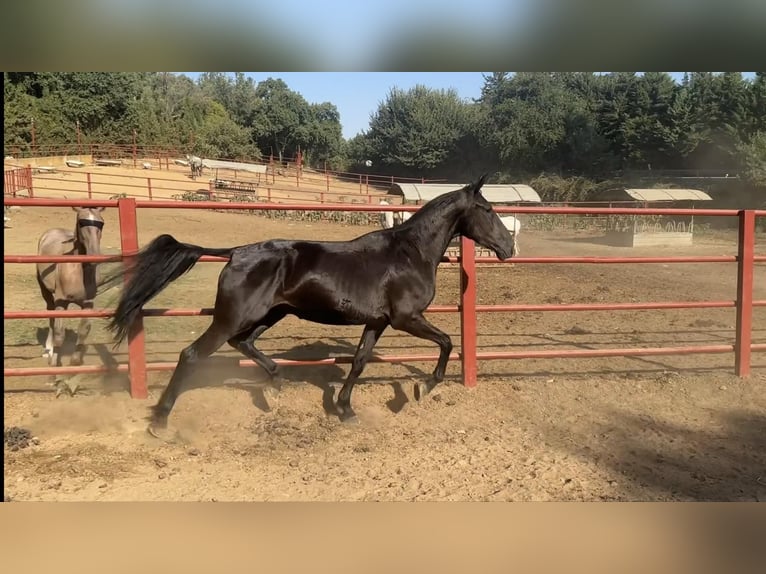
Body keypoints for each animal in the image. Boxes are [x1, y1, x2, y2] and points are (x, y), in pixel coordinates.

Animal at [36, 207, 106, 396]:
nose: (94, 256)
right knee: (51, 317)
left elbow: (82, 333)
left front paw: (69, 377)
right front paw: (53, 376)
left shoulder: (88, 304)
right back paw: (48, 349)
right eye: (81, 222)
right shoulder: (61, 302)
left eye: (101, 223)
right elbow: (60, 335)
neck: (77, 271)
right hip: (47, 292)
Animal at [106, 176, 516, 436]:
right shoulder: (405, 318)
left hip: (270, 314)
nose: (509, 248)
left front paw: (345, 410)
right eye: (487, 209)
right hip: (234, 317)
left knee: (244, 344)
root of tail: (236, 252)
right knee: (192, 355)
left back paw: (274, 386)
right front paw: (422, 389)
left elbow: (359, 361)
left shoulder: (378, 322)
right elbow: (447, 341)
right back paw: (159, 423)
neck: (409, 253)